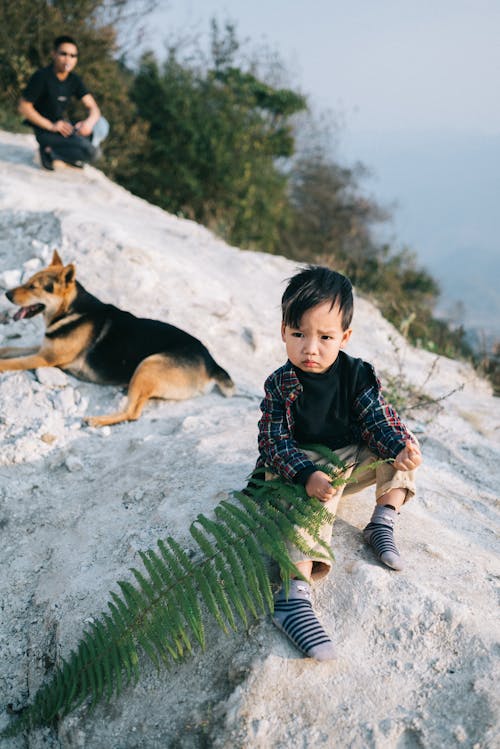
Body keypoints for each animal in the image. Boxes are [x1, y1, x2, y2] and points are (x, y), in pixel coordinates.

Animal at [0, 250, 235, 424]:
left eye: (33, 287)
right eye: (27, 281)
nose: (7, 294)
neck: (71, 310)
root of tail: (212, 363)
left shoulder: (45, 358)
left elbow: (12, 362)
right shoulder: (43, 349)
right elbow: (11, 350)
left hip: (148, 364)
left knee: (133, 413)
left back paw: (97, 420)